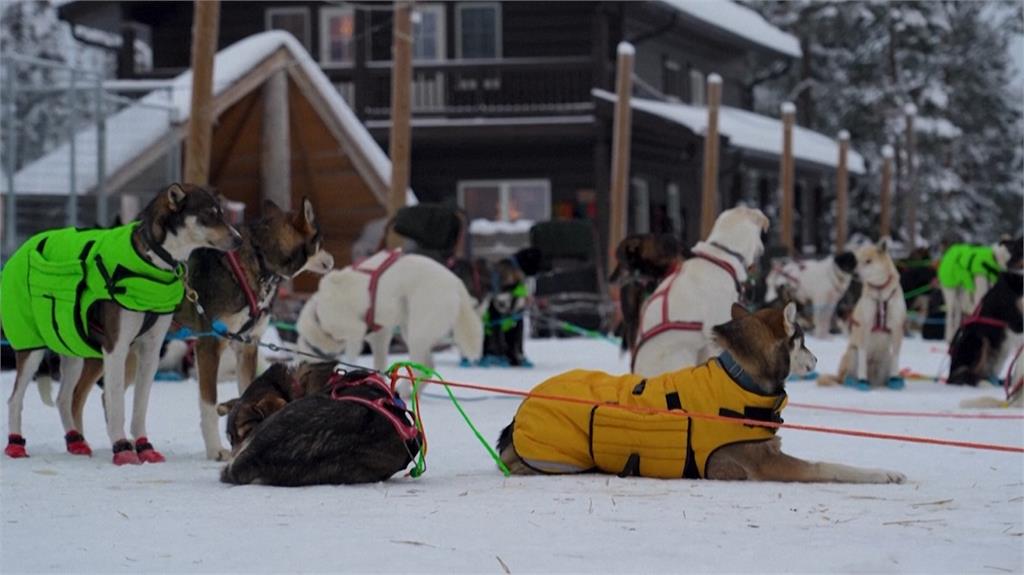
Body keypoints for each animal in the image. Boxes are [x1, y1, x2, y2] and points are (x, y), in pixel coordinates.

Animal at [4, 183, 239, 460]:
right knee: (15, 399)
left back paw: (76, 441)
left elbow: (140, 405)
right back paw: (16, 444)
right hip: (32, 348)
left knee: (64, 398)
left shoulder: (150, 350)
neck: (152, 261)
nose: (238, 239)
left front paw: (144, 446)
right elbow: (116, 401)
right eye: (209, 213)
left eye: (221, 212)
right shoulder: (116, 348)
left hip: (72, 348)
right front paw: (122, 448)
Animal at [499, 302, 909, 480]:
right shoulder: (764, 463)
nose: (818, 358)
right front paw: (882, 474)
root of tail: (518, 415)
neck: (741, 380)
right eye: (803, 341)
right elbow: (829, 467)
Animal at [835, 237, 909, 388]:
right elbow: (863, 357)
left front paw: (895, 379)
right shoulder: (864, 327)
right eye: (856, 261)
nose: (854, 274)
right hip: (852, 353)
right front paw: (862, 380)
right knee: (846, 376)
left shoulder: (897, 328)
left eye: (868, 261)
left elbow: (896, 357)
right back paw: (853, 381)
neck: (880, 293)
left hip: (886, 358)